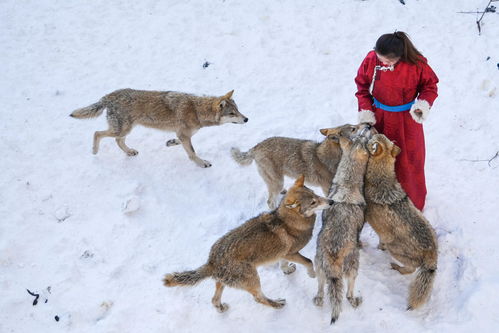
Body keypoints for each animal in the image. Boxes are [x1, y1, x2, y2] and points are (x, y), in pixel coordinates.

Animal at [70, 88, 248, 167]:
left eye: (238, 110)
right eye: (232, 113)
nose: (247, 119)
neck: (197, 110)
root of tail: (108, 96)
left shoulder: (182, 134)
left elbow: (179, 142)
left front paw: (170, 143)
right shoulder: (185, 134)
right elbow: (192, 153)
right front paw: (202, 163)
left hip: (126, 129)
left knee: (118, 141)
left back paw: (130, 152)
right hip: (122, 129)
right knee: (97, 133)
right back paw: (94, 151)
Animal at [164, 175, 334, 312]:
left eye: (316, 194)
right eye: (313, 202)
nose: (332, 201)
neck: (289, 222)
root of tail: (211, 262)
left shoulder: (282, 254)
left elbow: (283, 264)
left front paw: (287, 270)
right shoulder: (291, 253)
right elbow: (309, 261)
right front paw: (312, 274)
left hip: (225, 282)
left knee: (214, 300)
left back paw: (221, 308)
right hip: (254, 280)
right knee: (258, 298)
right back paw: (277, 304)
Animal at [230, 123, 376, 209]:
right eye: (353, 128)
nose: (369, 124)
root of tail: (256, 147)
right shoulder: (327, 188)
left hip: (278, 181)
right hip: (277, 181)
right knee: (270, 201)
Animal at [314, 134, 370, 322]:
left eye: (359, 136)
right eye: (364, 138)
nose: (369, 128)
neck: (347, 183)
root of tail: (334, 256)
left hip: (318, 266)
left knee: (321, 288)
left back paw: (318, 299)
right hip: (353, 269)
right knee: (347, 294)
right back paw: (356, 300)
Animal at [364, 134, 438, 310]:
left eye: (373, 136)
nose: (370, 128)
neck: (381, 179)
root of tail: (433, 251)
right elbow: (380, 241)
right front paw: (379, 247)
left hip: (395, 249)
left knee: (411, 269)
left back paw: (396, 267)